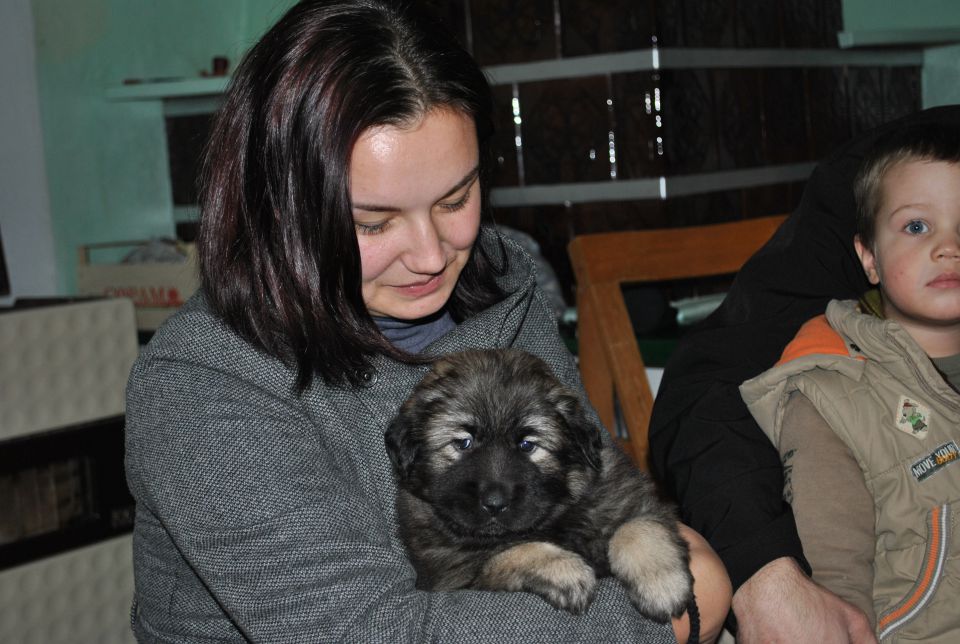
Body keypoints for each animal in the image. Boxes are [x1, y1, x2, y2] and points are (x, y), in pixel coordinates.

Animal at [386, 350, 692, 620]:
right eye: (463, 443)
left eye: (527, 445)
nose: (495, 504)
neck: (554, 517)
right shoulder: (453, 576)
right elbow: (509, 552)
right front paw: (566, 570)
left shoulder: (633, 498)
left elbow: (638, 528)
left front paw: (662, 585)